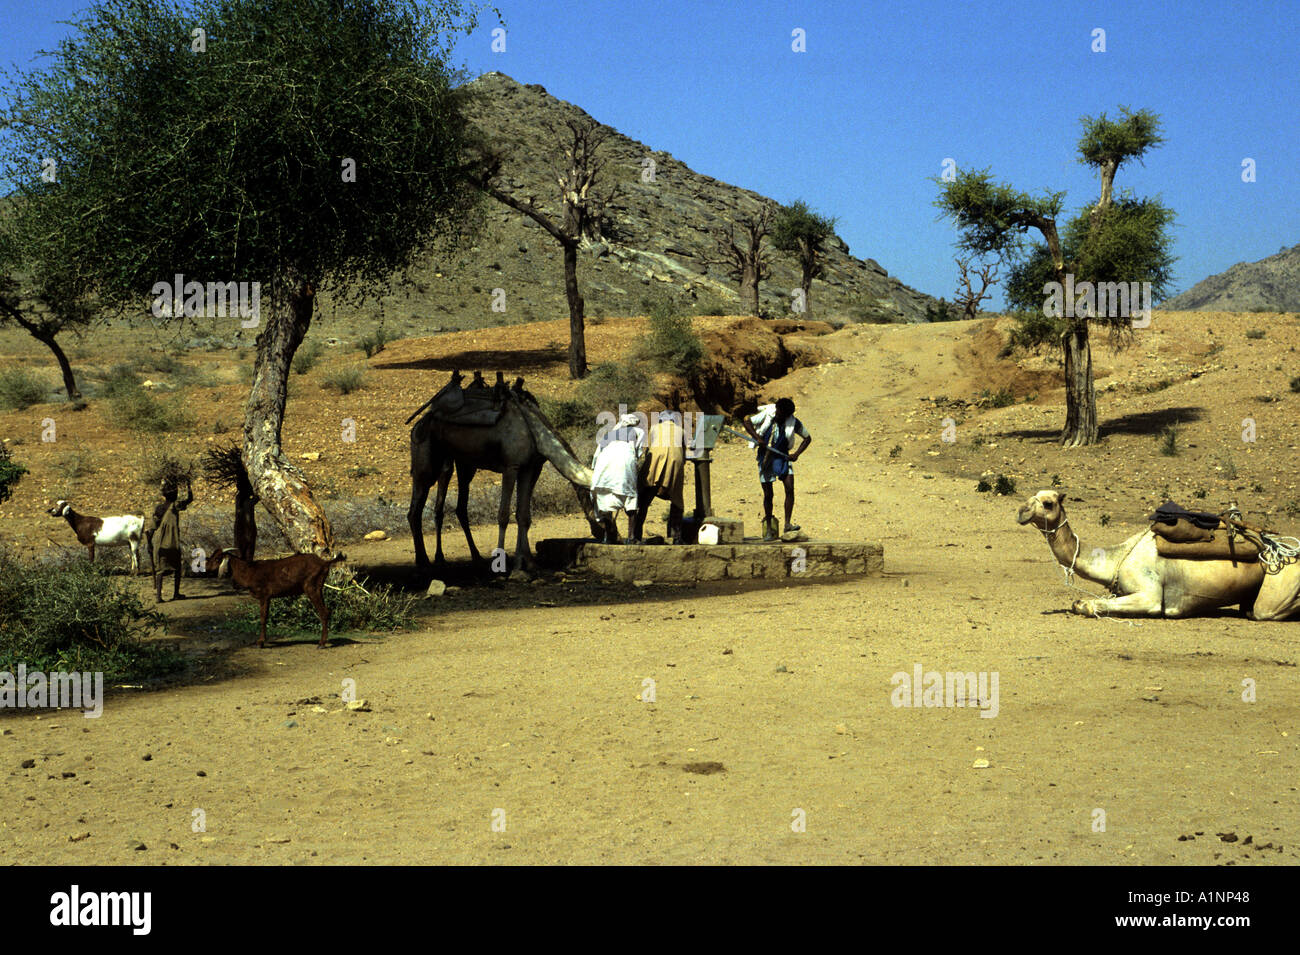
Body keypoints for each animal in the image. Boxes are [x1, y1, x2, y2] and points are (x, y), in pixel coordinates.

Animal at [1008, 493, 1274, 621]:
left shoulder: (1149, 593)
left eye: (1047, 502)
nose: (1021, 511)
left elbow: (1088, 604)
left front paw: (1085, 605)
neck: (1116, 558)